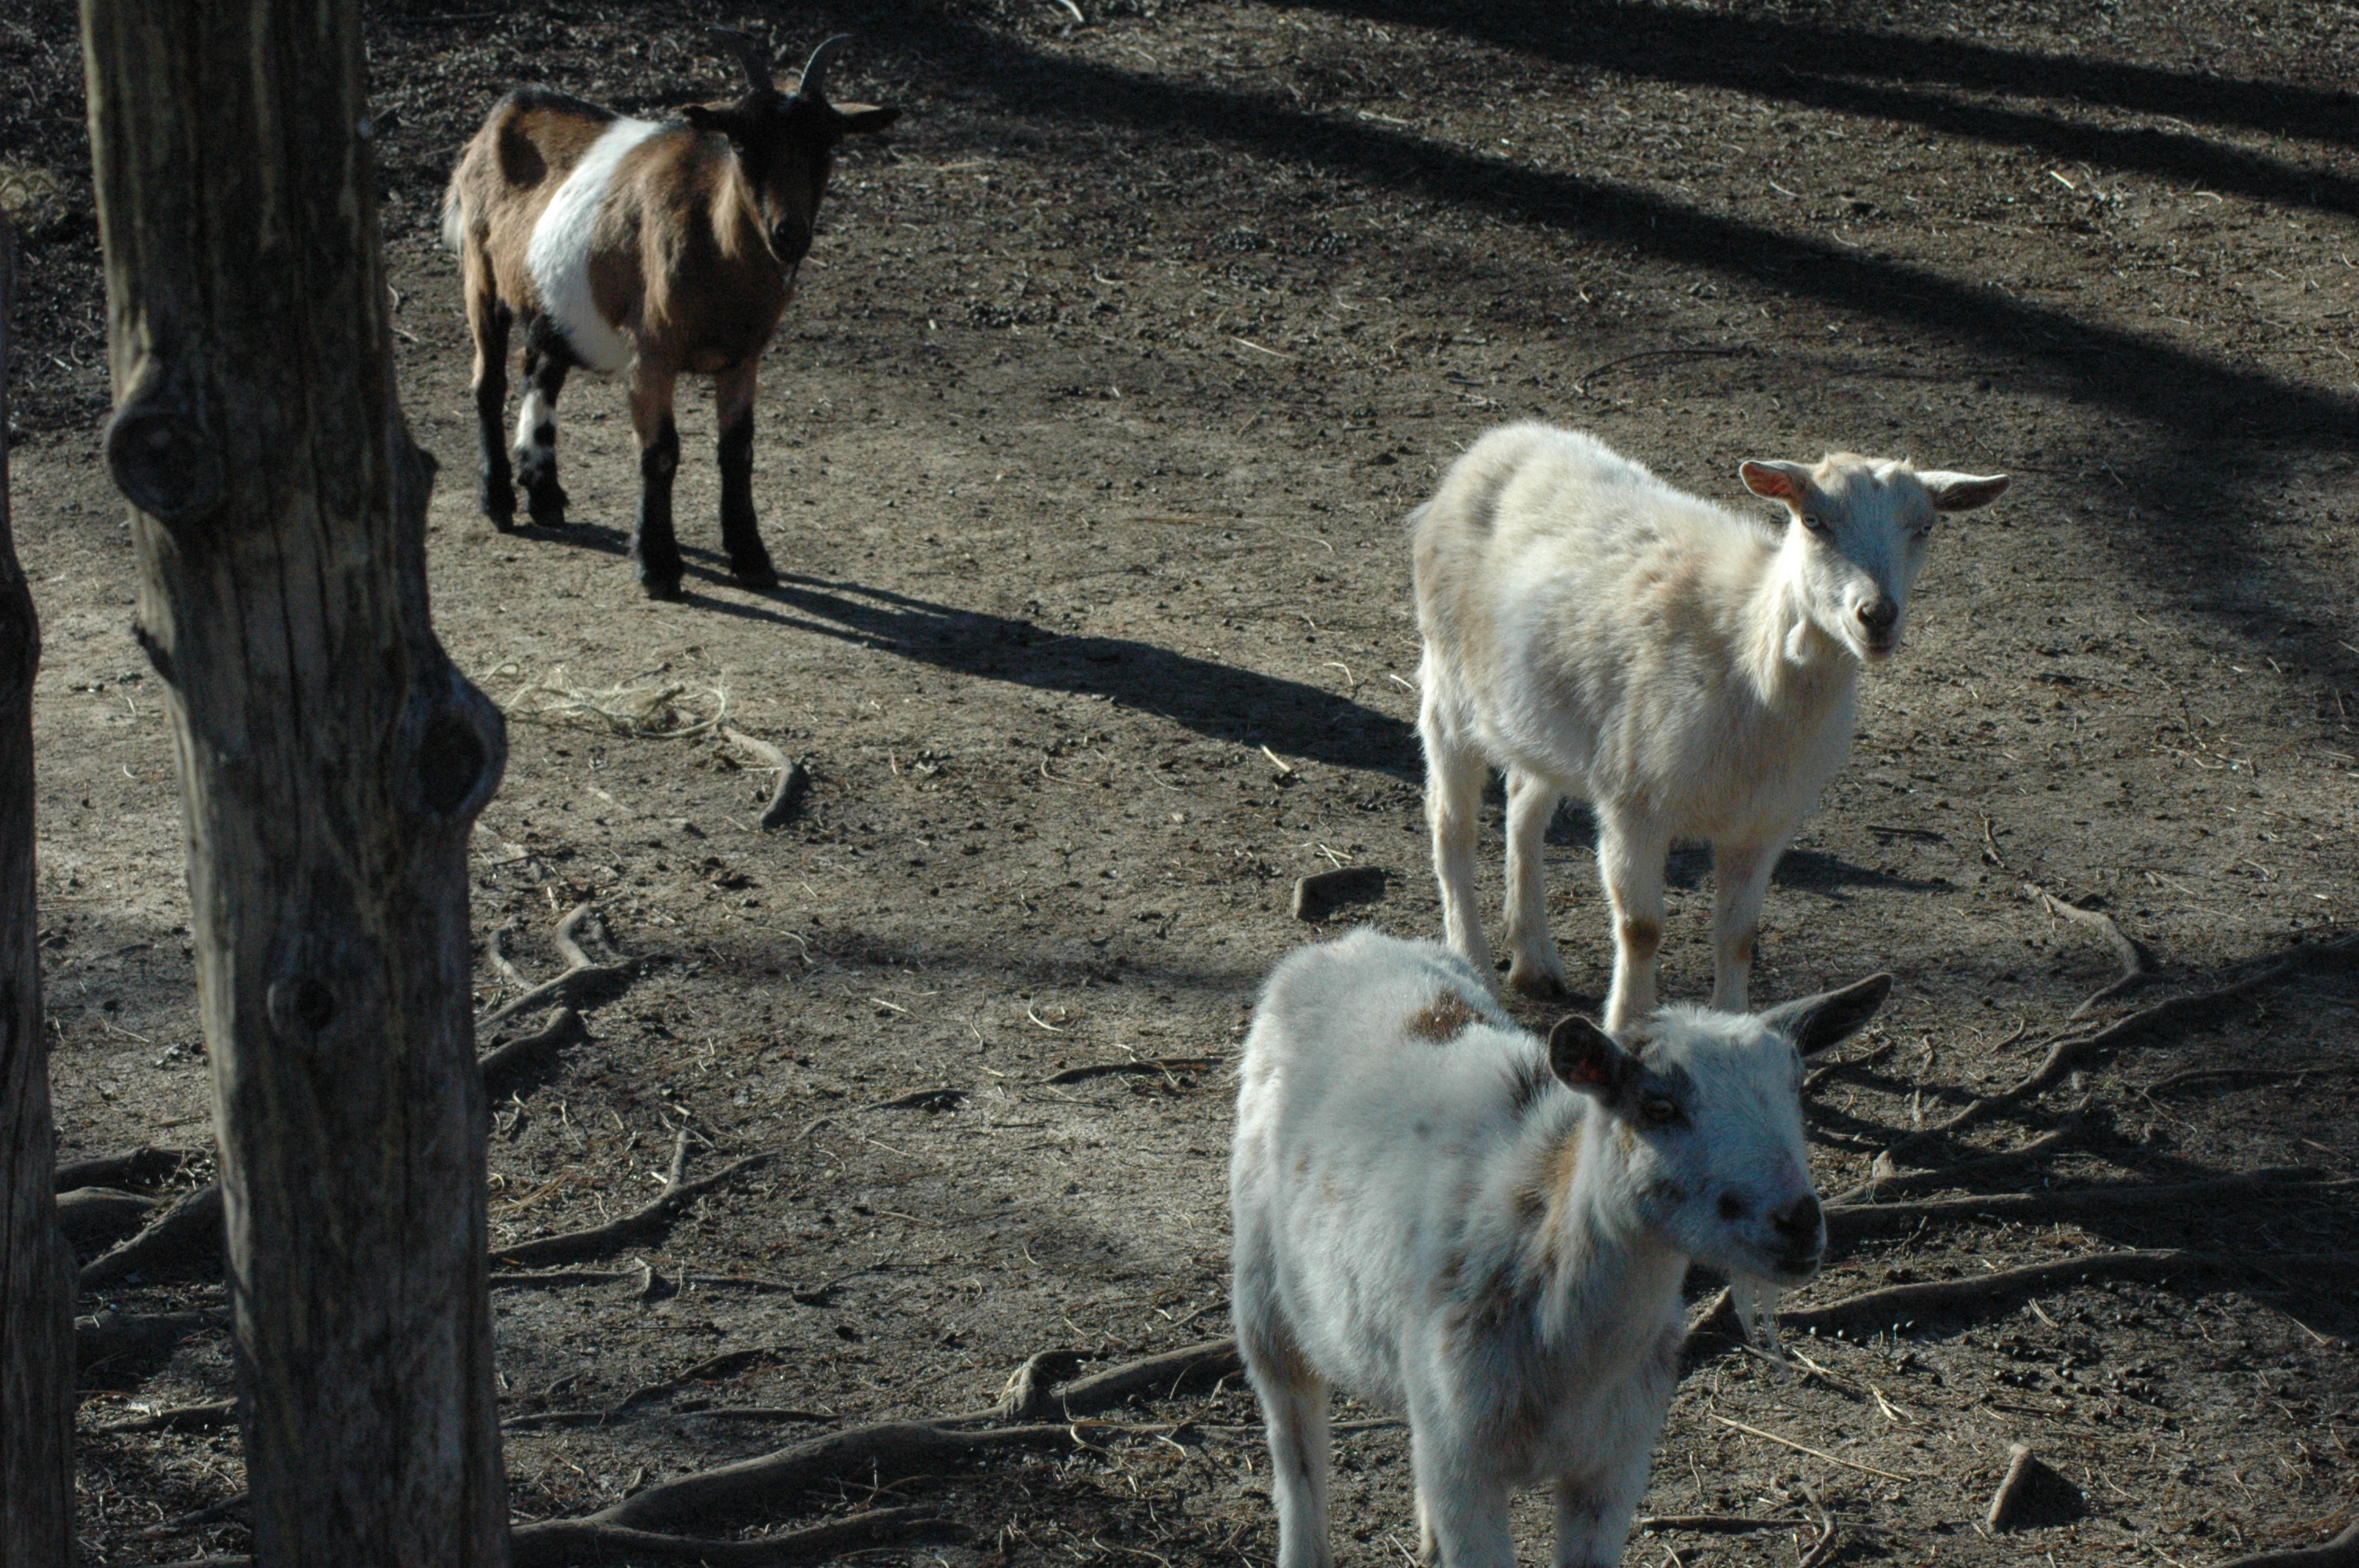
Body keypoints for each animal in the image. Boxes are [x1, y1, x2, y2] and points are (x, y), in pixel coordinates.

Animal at [441, 31, 898, 598]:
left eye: (830, 145)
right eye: (741, 144)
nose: (789, 233)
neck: (714, 242)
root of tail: (502, 111)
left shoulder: (743, 359)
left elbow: (737, 452)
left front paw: (751, 557)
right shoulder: (652, 355)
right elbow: (660, 453)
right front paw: (658, 566)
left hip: (555, 302)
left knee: (541, 373)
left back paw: (544, 494)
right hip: (480, 274)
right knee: (489, 382)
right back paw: (499, 502)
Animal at [1231, 928, 1888, 1568]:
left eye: (1795, 1086)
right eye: (1659, 1106)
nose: (1799, 1224)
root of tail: (1349, 943)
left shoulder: (1614, 1464)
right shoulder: (1465, 1464)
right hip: (1262, 1291)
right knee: (1295, 1442)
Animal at [1412, 423, 2006, 1031]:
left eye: (1924, 526)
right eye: (1813, 520)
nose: (1878, 616)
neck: (1750, 656)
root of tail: (1501, 440)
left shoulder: (1764, 822)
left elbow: (1739, 936)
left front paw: (1732, 1023)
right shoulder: (1635, 802)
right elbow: (1642, 929)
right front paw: (1628, 1027)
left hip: (1543, 720)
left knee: (1523, 807)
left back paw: (1534, 959)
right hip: (1448, 683)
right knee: (1450, 825)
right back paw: (1474, 964)